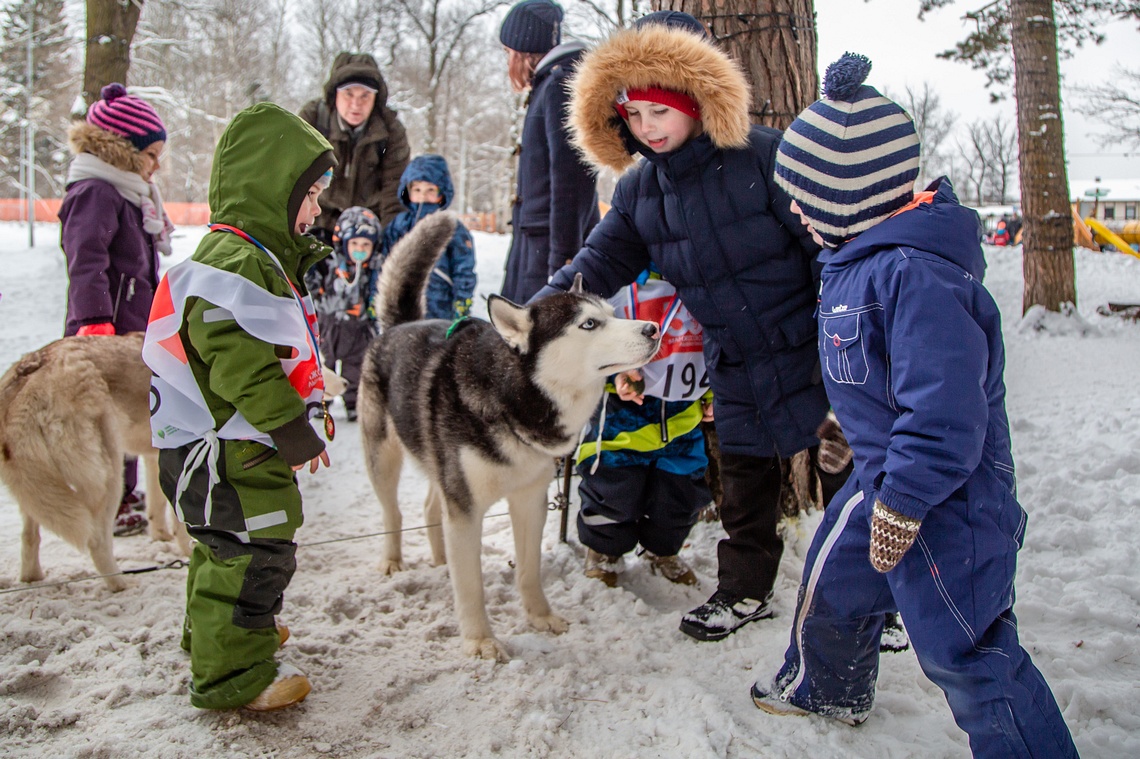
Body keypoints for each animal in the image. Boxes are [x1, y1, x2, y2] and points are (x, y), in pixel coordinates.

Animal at [0, 332, 190, 592]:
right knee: (97, 540)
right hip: (110, 474)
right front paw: (190, 551)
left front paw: (163, 538)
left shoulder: (155, 457)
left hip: (36, 489)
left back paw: (32, 577)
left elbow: (158, 507)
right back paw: (122, 584)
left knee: (30, 537)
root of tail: (32, 368)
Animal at [360, 210, 665, 656]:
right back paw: (392, 560)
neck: (514, 399)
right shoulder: (466, 511)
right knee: (393, 512)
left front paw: (540, 617)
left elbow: (529, 569)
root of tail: (403, 324)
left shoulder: (529, 501)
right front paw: (480, 641)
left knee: (431, 507)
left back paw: (440, 559)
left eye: (612, 312)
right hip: (383, 458)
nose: (653, 329)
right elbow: (471, 586)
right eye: (589, 324)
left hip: (439, 466)